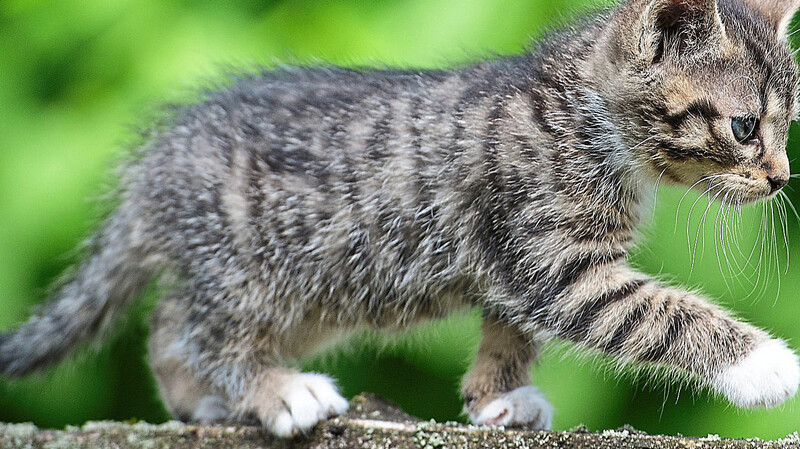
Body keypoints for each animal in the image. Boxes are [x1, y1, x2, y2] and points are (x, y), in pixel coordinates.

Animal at [1, 0, 800, 436]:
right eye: (744, 128)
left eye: (787, 126)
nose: (782, 177)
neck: (582, 113)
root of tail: (153, 166)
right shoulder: (554, 261)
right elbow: (658, 313)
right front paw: (765, 365)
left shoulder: (513, 262)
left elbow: (511, 330)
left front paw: (496, 397)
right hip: (248, 268)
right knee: (204, 331)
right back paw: (275, 391)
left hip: (311, 292)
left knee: (169, 328)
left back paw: (204, 399)